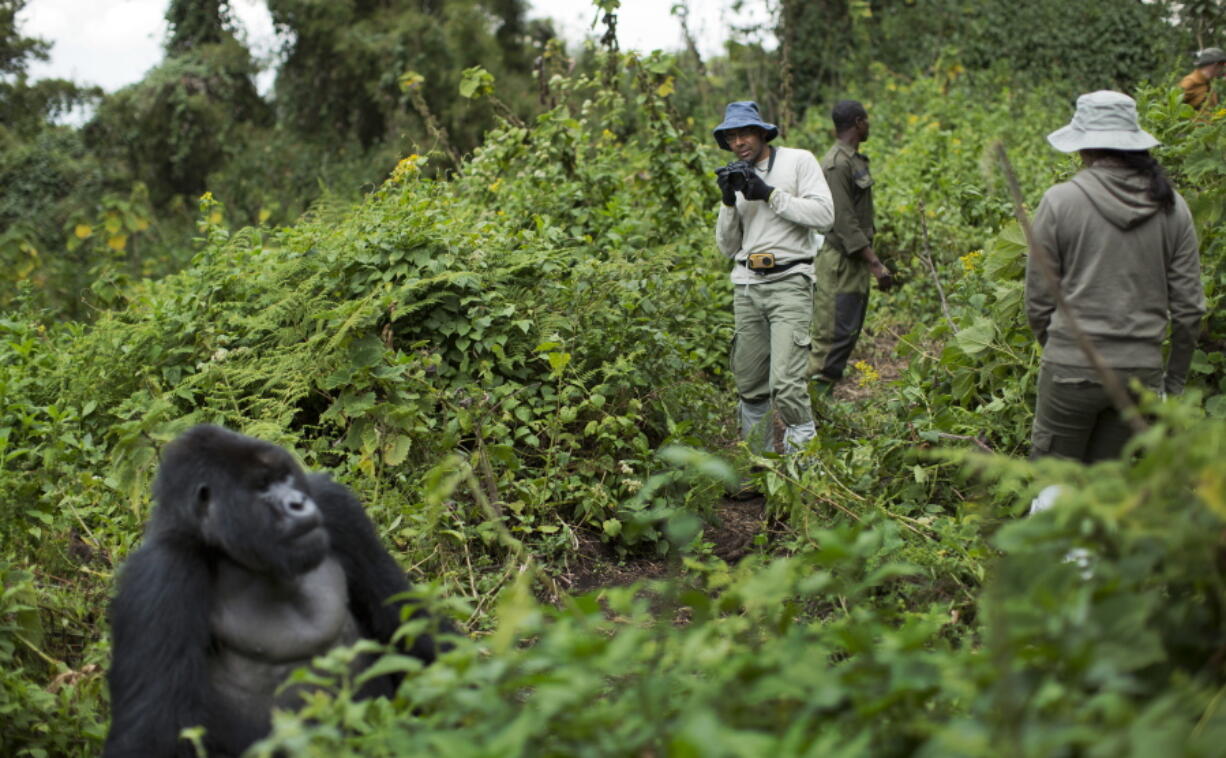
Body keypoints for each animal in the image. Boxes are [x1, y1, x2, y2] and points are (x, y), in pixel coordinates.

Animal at [100, 424, 446, 755]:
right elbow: (150, 734)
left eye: (284, 477)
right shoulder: (160, 576)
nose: (298, 503)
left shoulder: (337, 507)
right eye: (263, 486)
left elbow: (407, 625)